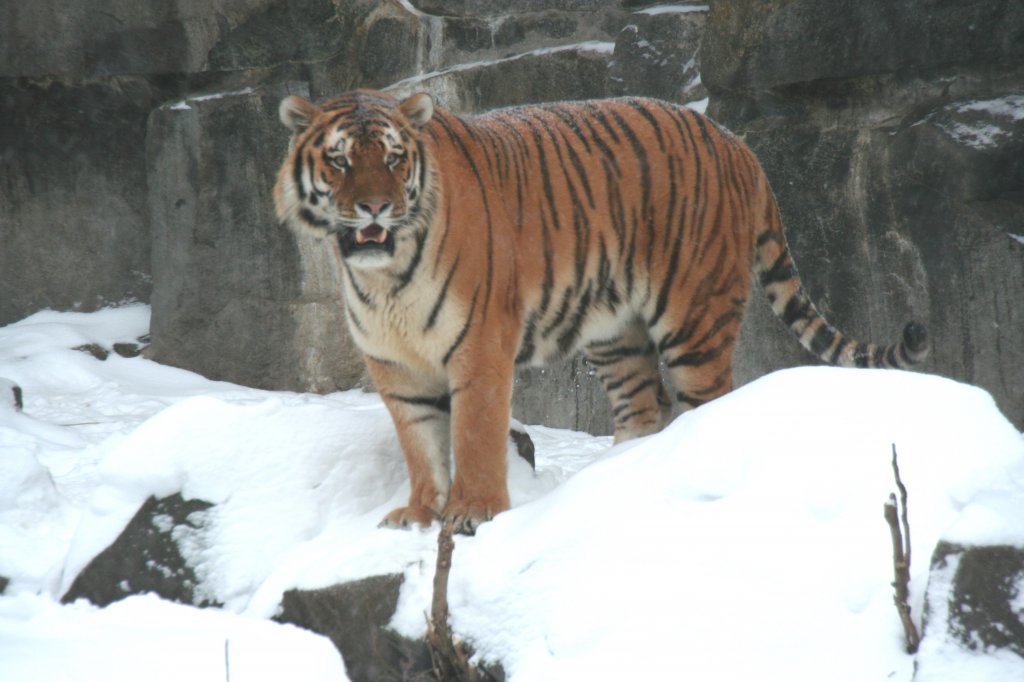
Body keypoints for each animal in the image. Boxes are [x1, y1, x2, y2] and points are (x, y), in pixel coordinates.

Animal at [272, 87, 929, 532]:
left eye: (392, 158)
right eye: (339, 161)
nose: (375, 208)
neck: (384, 277)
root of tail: (737, 142)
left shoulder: (480, 347)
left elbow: (474, 435)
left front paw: (474, 512)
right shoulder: (395, 366)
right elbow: (421, 446)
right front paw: (418, 512)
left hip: (695, 318)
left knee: (707, 402)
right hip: (615, 330)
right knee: (644, 406)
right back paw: (609, 481)